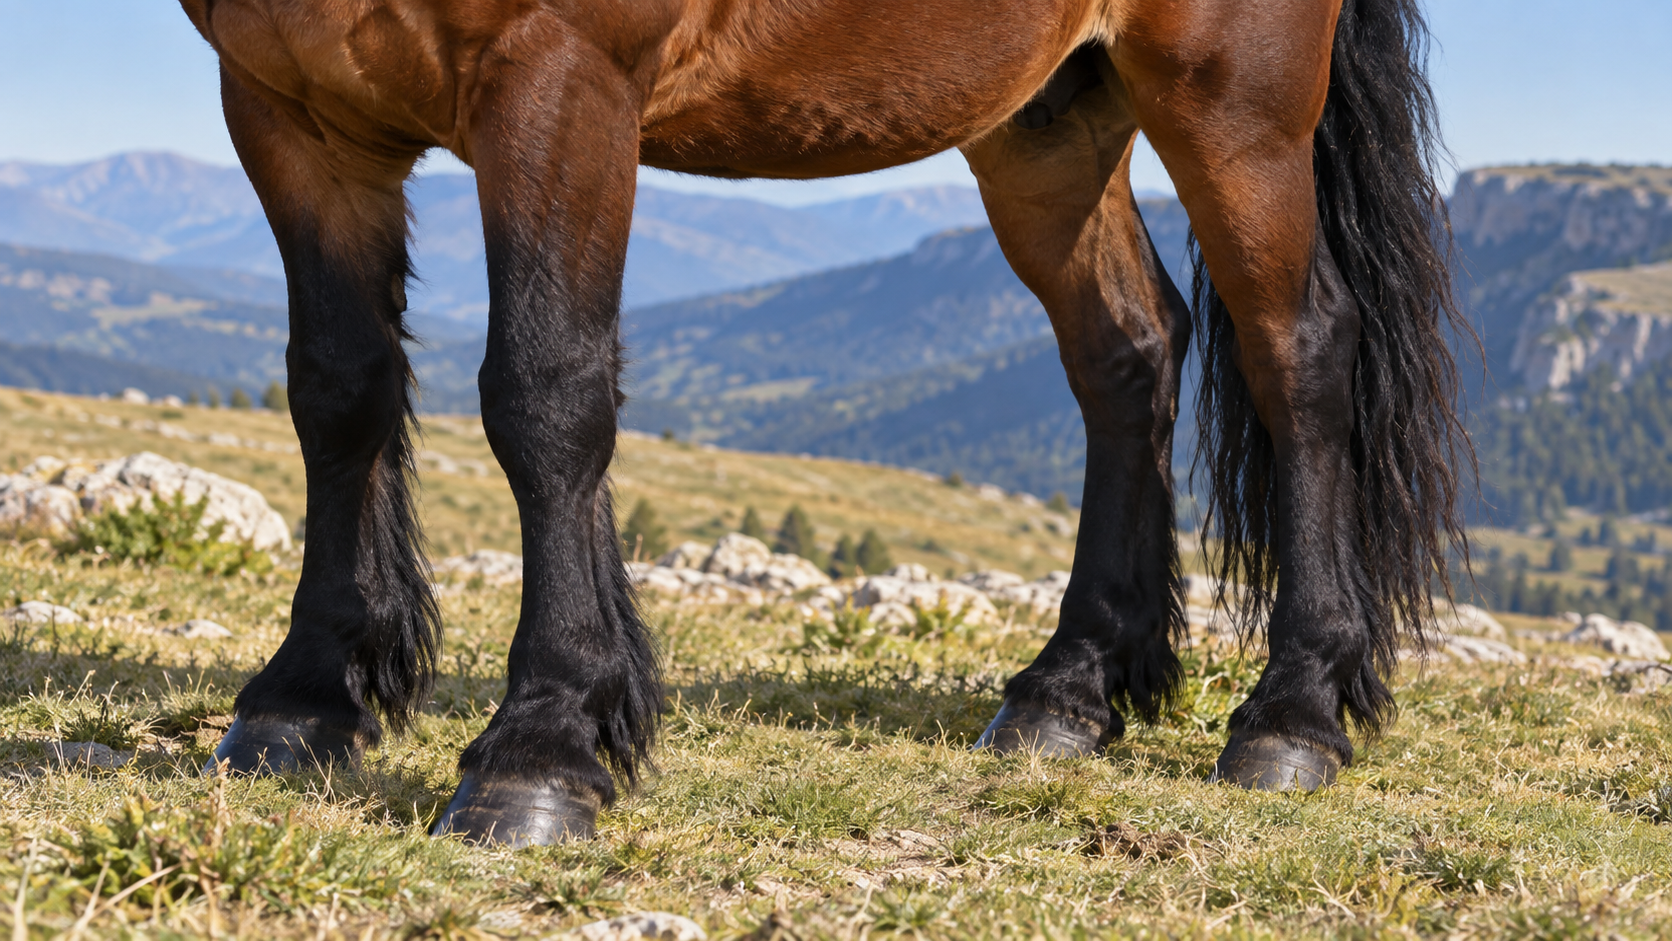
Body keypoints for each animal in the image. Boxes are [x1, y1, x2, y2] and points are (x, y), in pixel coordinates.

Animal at [176, 0, 1467, 847]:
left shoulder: (558, 82)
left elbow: (545, 394)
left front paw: (541, 745)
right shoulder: (287, 107)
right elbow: (338, 389)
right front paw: (305, 694)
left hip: (1233, 101)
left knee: (1299, 352)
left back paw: (1294, 712)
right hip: (1048, 118)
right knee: (1127, 351)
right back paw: (1070, 686)